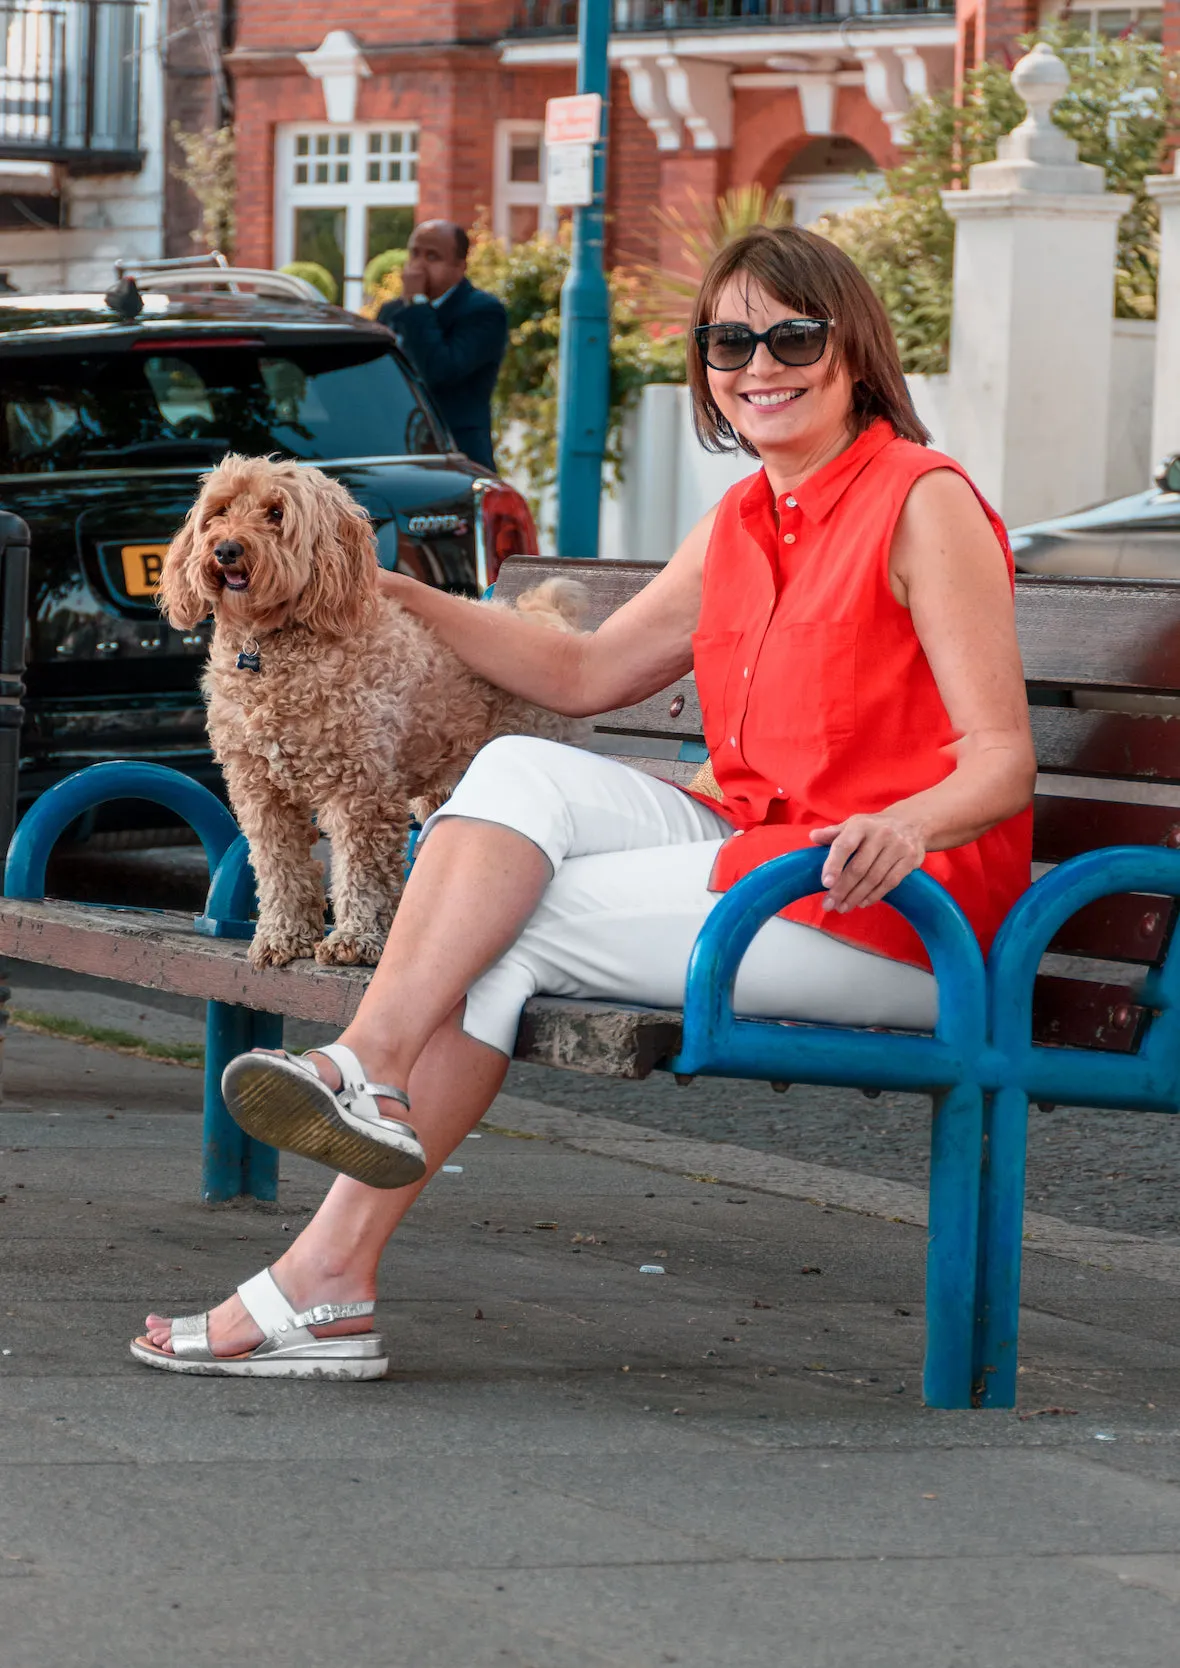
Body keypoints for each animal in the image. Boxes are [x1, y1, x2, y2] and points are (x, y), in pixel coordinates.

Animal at [161, 457, 587, 974]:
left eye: (276, 513)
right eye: (219, 511)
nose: (225, 549)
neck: (274, 645)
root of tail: (546, 620)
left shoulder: (362, 788)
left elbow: (360, 870)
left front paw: (356, 938)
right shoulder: (259, 790)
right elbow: (280, 866)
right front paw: (284, 936)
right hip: (451, 782)